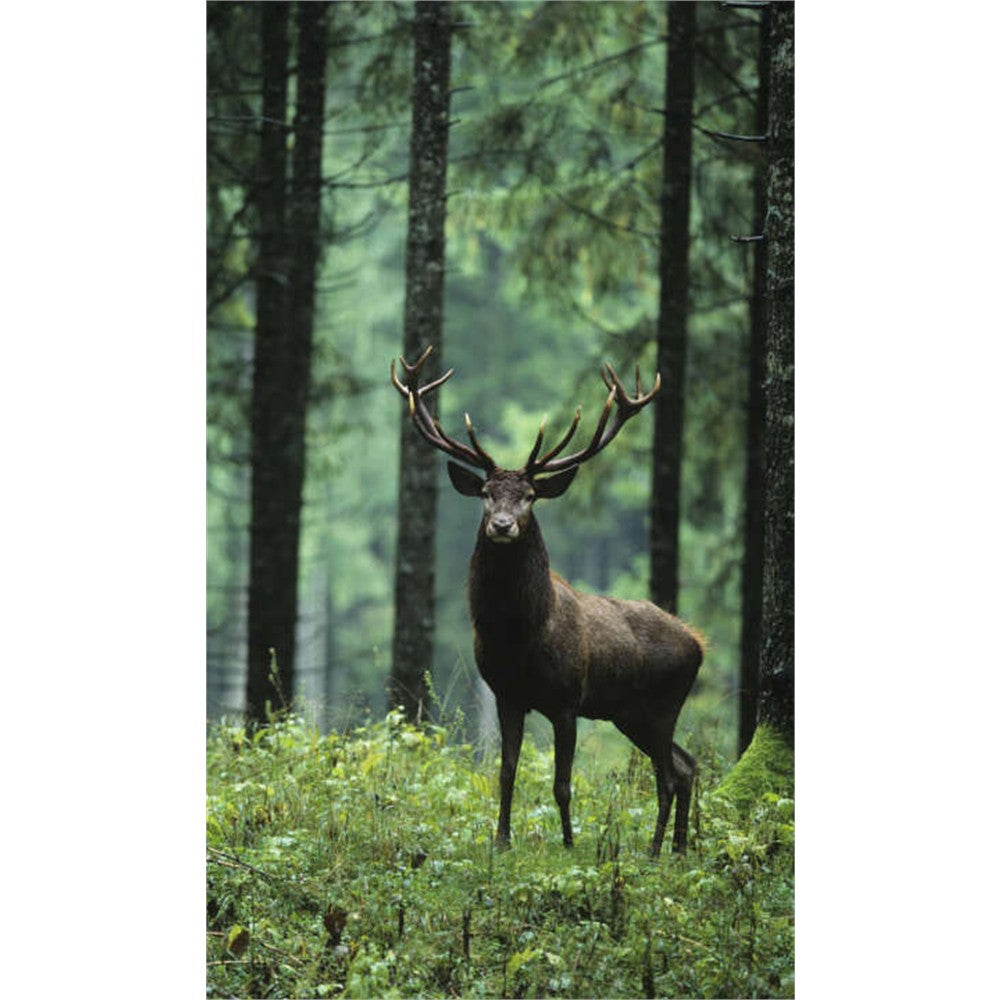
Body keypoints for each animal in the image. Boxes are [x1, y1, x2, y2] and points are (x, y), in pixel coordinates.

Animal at [391, 346, 704, 857]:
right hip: (629, 713)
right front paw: (501, 840)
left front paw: (570, 844)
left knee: (668, 774)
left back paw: (656, 851)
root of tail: (699, 643)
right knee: (686, 765)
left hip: (663, 703)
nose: (501, 525)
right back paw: (676, 849)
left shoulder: (566, 700)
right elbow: (505, 772)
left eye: (531, 495)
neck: (519, 636)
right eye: (485, 492)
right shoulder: (506, 694)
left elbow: (562, 783)